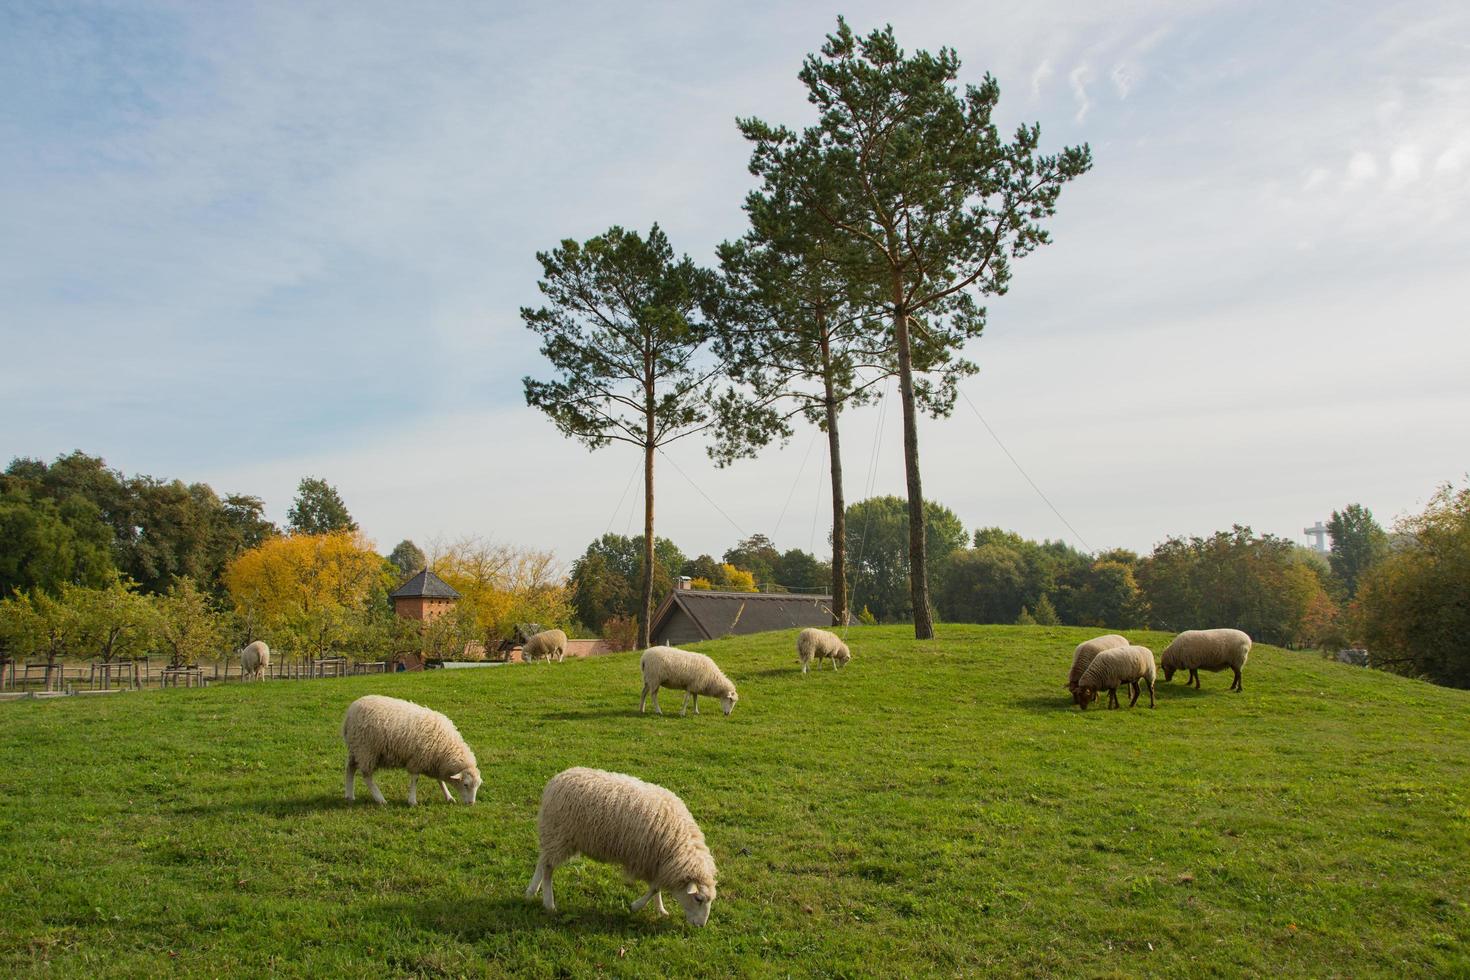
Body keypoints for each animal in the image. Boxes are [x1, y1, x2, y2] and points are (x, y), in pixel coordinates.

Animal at [341, 690, 485, 805]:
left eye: (478, 785)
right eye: (466, 784)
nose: (471, 803)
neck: (445, 746)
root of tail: (349, 713)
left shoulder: (435, 761)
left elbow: (440, 781)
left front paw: (449, 797)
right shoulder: (418, 759)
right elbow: (415, 779)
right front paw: (412, 801)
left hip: (356, 748)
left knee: (350, 769)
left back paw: (349, 795)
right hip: (366, 750)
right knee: (367, 776)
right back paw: (380, 799)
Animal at [526, 764, 720, 928]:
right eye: (698, 899)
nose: (701, 926)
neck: (679, 843)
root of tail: (556, 780)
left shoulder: (657, 863)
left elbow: (656, 887)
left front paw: (660, 910)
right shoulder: (647, 860)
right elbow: (654, 888)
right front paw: (635, 906)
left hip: (553, 836)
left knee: (541, 861)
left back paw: (531, 890)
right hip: (560, 836)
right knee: (548, 868)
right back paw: (549, 903)